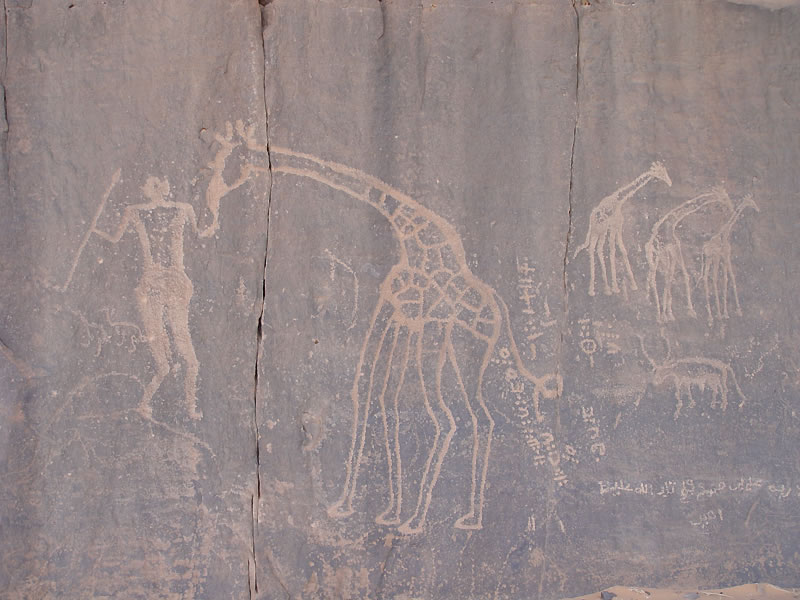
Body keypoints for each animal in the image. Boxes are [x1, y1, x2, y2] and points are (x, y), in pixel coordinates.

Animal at [242, 144, 562, 535]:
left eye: (229, 163)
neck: (414, 237)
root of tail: (497, 307)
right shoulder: (398, 318)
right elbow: (379, 399)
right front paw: (374, 509)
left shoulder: (402, 314)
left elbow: (373, 398)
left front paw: (383, 510)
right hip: (464, 352)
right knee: (480, 418)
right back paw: (468, 517)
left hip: (448, 345)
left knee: (448, 419)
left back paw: (420, 519)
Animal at [573, 162, 672, 297]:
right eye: (660, 172)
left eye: (665, 171)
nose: (670, 182)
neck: (619, 200)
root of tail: (591, 218)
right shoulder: (613, 226)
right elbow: (612, 251)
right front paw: (615, 287)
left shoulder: (618, 226)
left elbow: (622, 250)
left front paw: (633, 285)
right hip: (599, 231)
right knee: (594, 249)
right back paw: (596, 289)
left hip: (600, 232)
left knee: (596, 249)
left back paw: (602, 288)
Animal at [645, 187, 734, 323]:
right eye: (723, 198)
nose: (732, 208)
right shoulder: (676, 251)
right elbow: (683, 277)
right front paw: (689, 311)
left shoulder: (674, 253)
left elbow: (673, 279)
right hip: (660, 259)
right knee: (656, 279)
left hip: (662, 260)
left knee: (657, 279)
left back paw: (662, 313)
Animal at [701, 195, 760, 324]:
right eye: (750, 201)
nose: (758, 209)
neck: (725, 233)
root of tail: (704, 249)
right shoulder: (725, 256)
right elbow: (729, 278)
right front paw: (731, 312)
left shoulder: (724, 257)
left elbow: (727, 279)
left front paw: (728, 312)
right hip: (713, 259)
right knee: (712, 278)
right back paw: (715, 315)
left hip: (710, 260)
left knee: (706, 278)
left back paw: (711, 316)